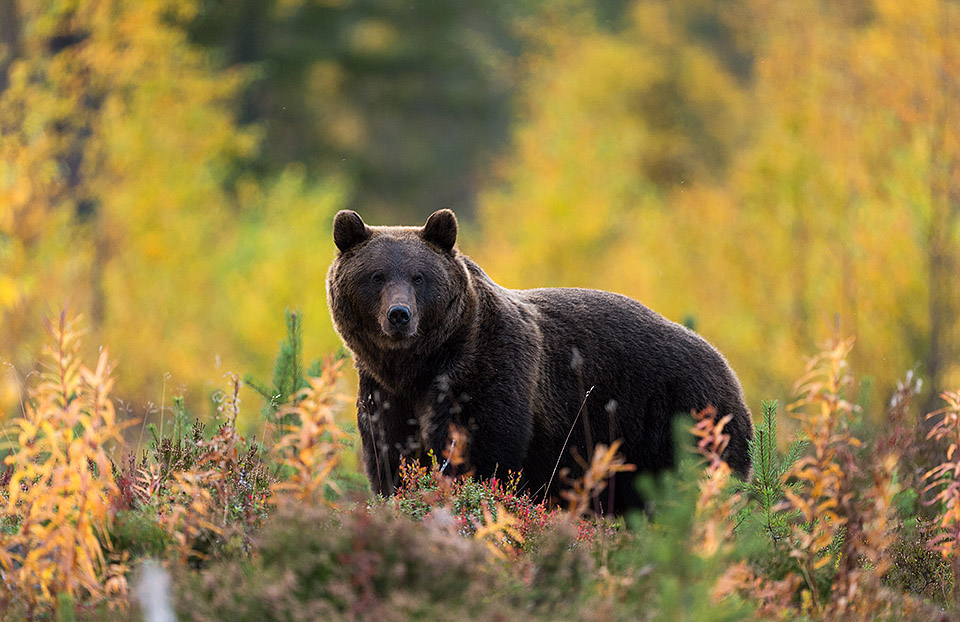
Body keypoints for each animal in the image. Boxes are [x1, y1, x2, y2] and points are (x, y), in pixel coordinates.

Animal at [326, 210, 752, 512]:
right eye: (377, 275)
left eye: (418, 277)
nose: (399, 315)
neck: (420, 366)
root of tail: (726, 364)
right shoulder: (385, 393)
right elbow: (390, 456)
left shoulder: (487, 371)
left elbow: (482, 449)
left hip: (683, 416)